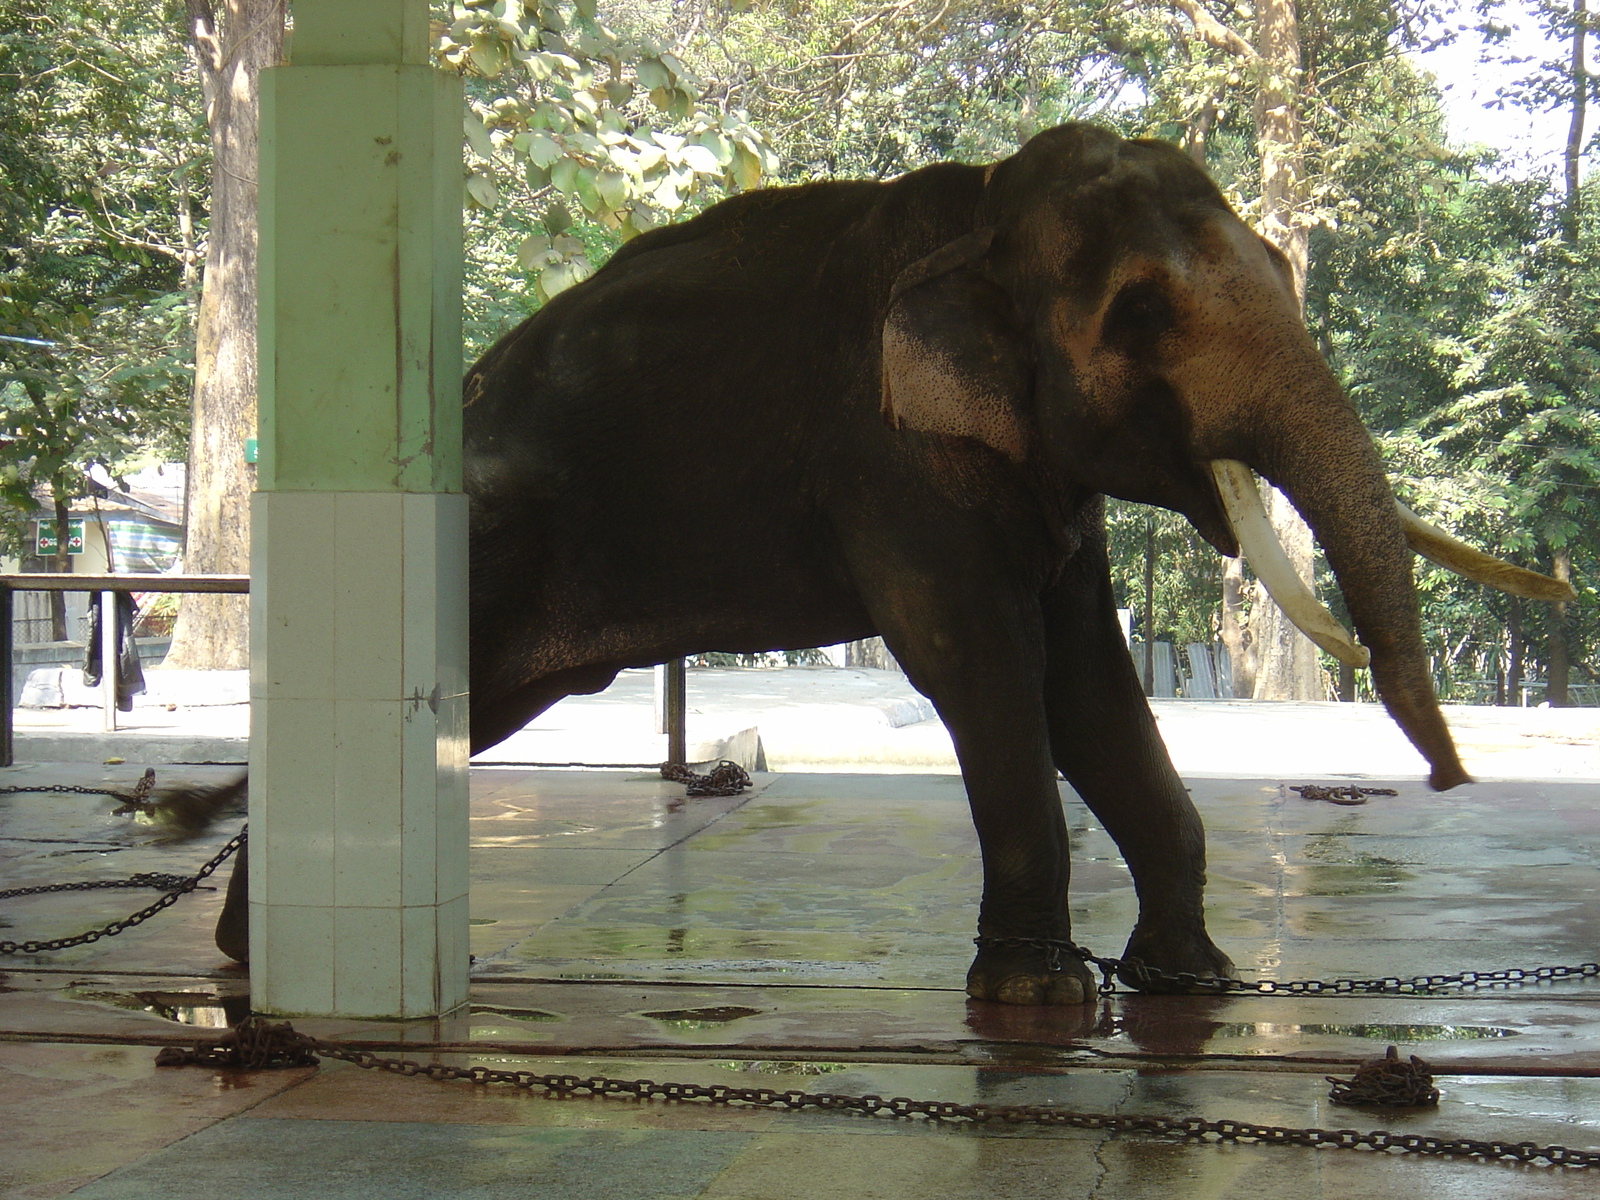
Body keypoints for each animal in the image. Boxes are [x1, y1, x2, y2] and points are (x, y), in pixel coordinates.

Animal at [206, 124, 1568, 1004]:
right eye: (1137, 314)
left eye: (1283, 272)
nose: (1447, 782)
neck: (979, 210)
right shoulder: (891, 455)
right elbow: (979, 662)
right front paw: (1032, 999)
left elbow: (1088, 679)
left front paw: (1188, 982)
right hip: (488, 546)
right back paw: (267, 959)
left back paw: (241, 950)